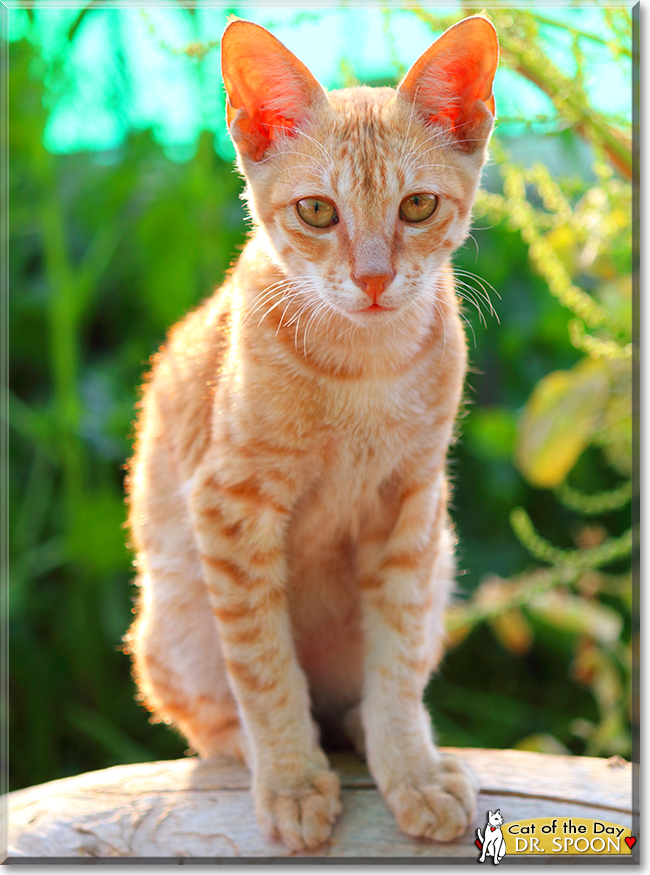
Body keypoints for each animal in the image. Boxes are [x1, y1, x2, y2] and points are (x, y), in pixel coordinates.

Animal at [124, 12, 496, 848]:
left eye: (417, 207)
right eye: (318, 212)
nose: (373, 277)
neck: (365, 368)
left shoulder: (412, 507)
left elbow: (395, 659)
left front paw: (412, 769)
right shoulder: (230, 504)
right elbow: (264, 664)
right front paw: (292, 779)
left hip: (443, 561)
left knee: (366, 688)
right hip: (173, 618)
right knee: (214, 717)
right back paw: (267, 750)